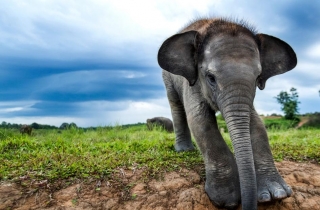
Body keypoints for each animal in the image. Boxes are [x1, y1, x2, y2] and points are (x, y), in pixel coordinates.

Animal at [158, 18, 298, 210]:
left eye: (258, 78)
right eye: (210, 77)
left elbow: (256, 124)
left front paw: (276, 195)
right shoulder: (193, 81)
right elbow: (200, 121)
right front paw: (227, 199)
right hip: (168, 78)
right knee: (176, 106)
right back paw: (184, 150)